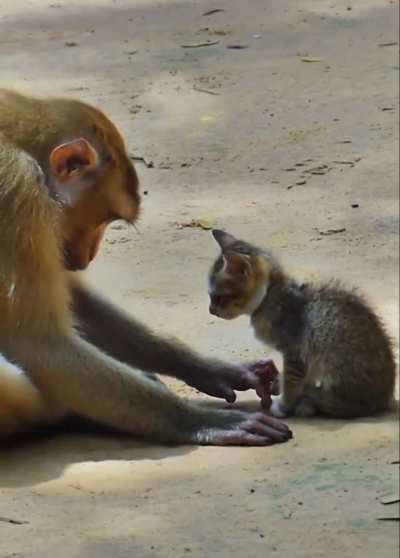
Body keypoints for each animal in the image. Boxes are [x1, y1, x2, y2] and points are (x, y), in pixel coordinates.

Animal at [208, 230, 396, 418]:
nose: (210, 309)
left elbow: (291, 384)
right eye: (211, 296)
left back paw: (308, 403)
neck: (270, 296)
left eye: (218, 297)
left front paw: (284, 406)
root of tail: (386, 397)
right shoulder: (304, 359)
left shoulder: (295, 353)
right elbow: (305, 378)